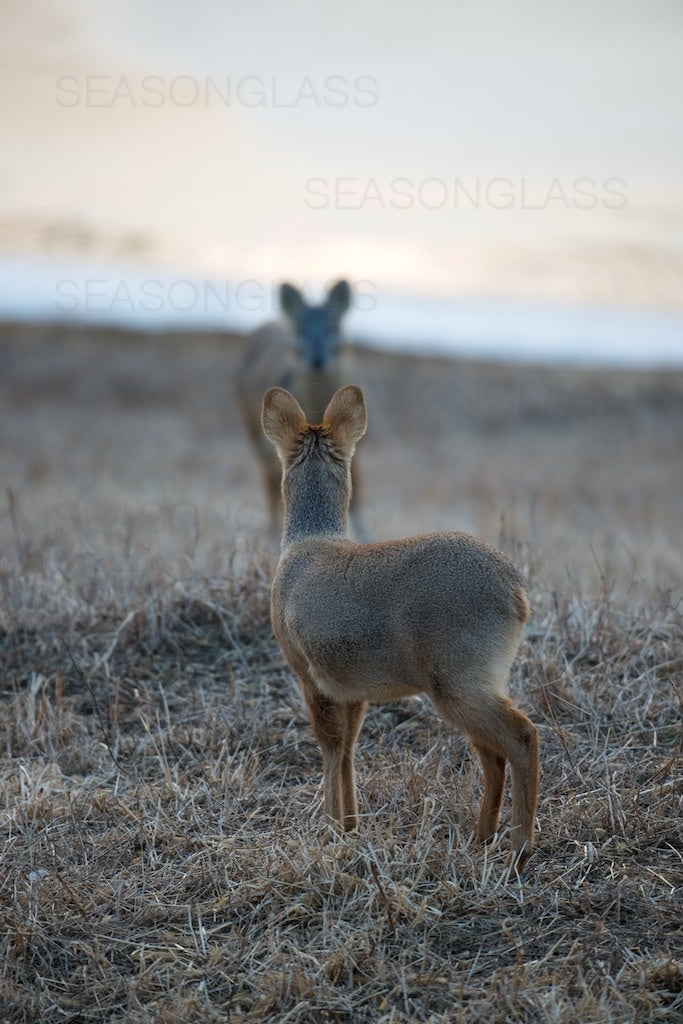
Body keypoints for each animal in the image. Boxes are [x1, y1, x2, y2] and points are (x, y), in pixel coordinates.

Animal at [262, 387, 540, 868]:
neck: (306, 541)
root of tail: (517, 592)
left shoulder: (307, 673)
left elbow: (329, 745)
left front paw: (330, 829)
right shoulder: (352, 687)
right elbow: (348, 748)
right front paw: (349, 826)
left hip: (456, 679)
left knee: (521, 737)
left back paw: (519, 846)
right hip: (478, 680)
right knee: (492, 753)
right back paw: (481, 838)